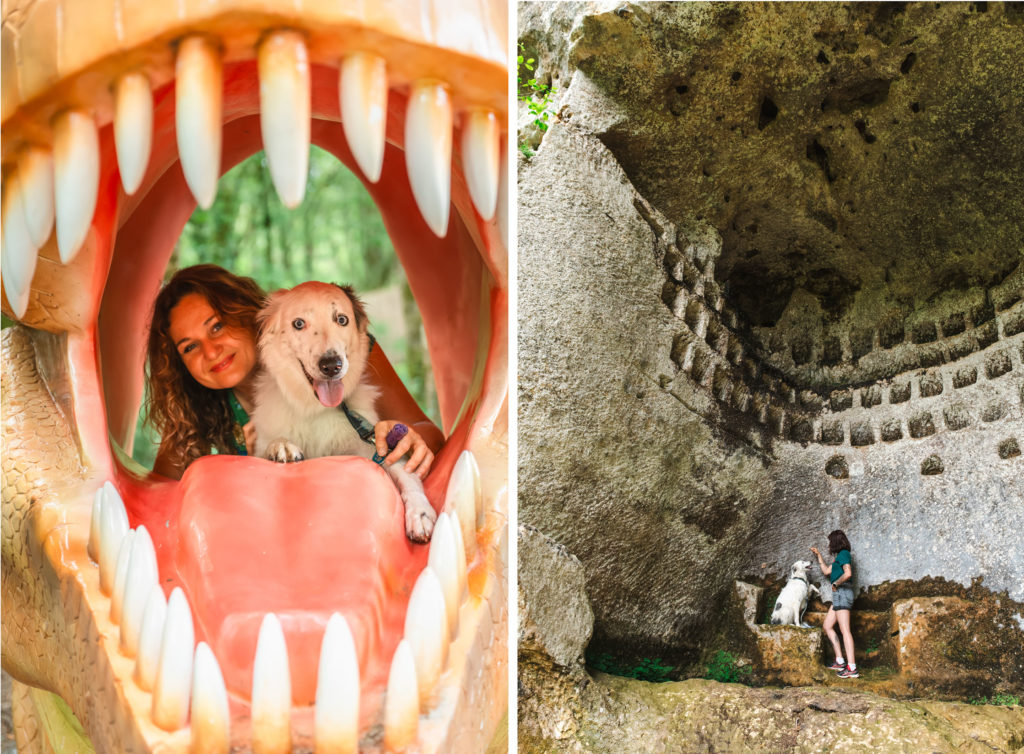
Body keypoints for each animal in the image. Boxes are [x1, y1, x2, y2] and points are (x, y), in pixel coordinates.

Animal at [253, 280, 438, 540]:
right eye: (298, 323)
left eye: (341, 319)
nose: (332, 365)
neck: (315, 411)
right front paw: (282, 446)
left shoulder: (374, 450)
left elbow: (407, 474)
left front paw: (420, 513)